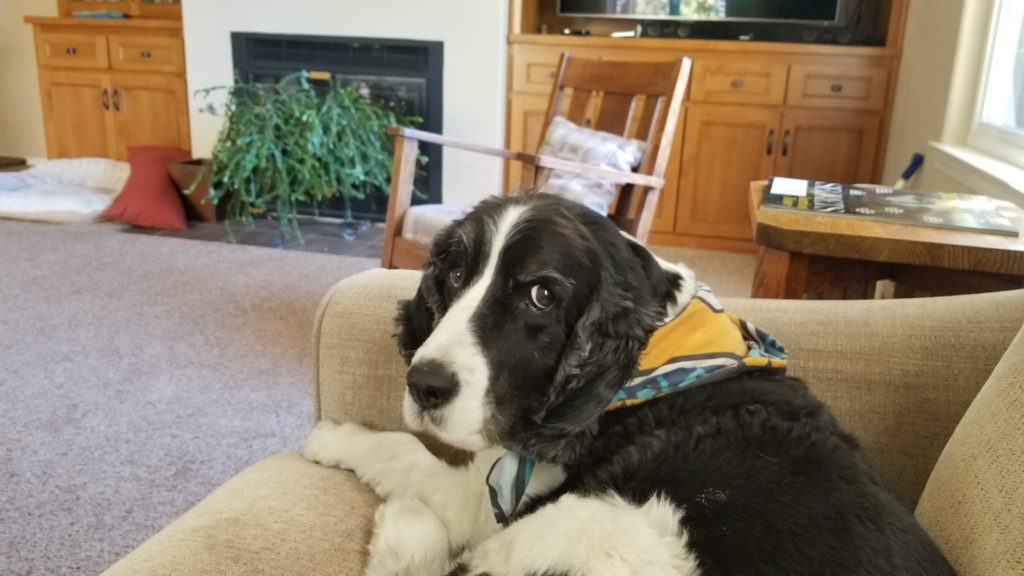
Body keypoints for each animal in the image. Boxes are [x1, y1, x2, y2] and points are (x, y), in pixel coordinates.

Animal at [299, 193, 954, 573]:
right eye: (456, 274)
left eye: (541, 294)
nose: (423, 385)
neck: (649, 361)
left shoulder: (496, 504)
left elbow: (409, 453)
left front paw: (333, 437)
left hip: (602, 523)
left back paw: (402, 527)